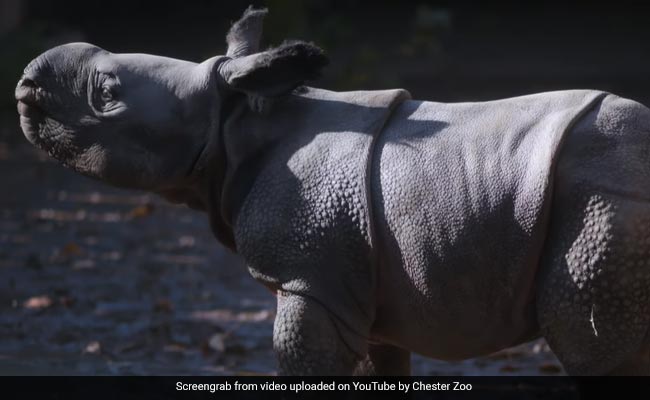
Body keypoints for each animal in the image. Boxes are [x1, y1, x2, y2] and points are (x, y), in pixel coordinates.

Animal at [14, 7, 650, 376]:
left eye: (107, 94)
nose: (23, 83)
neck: (236, 124)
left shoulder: (311, 281)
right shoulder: (373, 284)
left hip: (602, 204)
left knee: (595, 350)